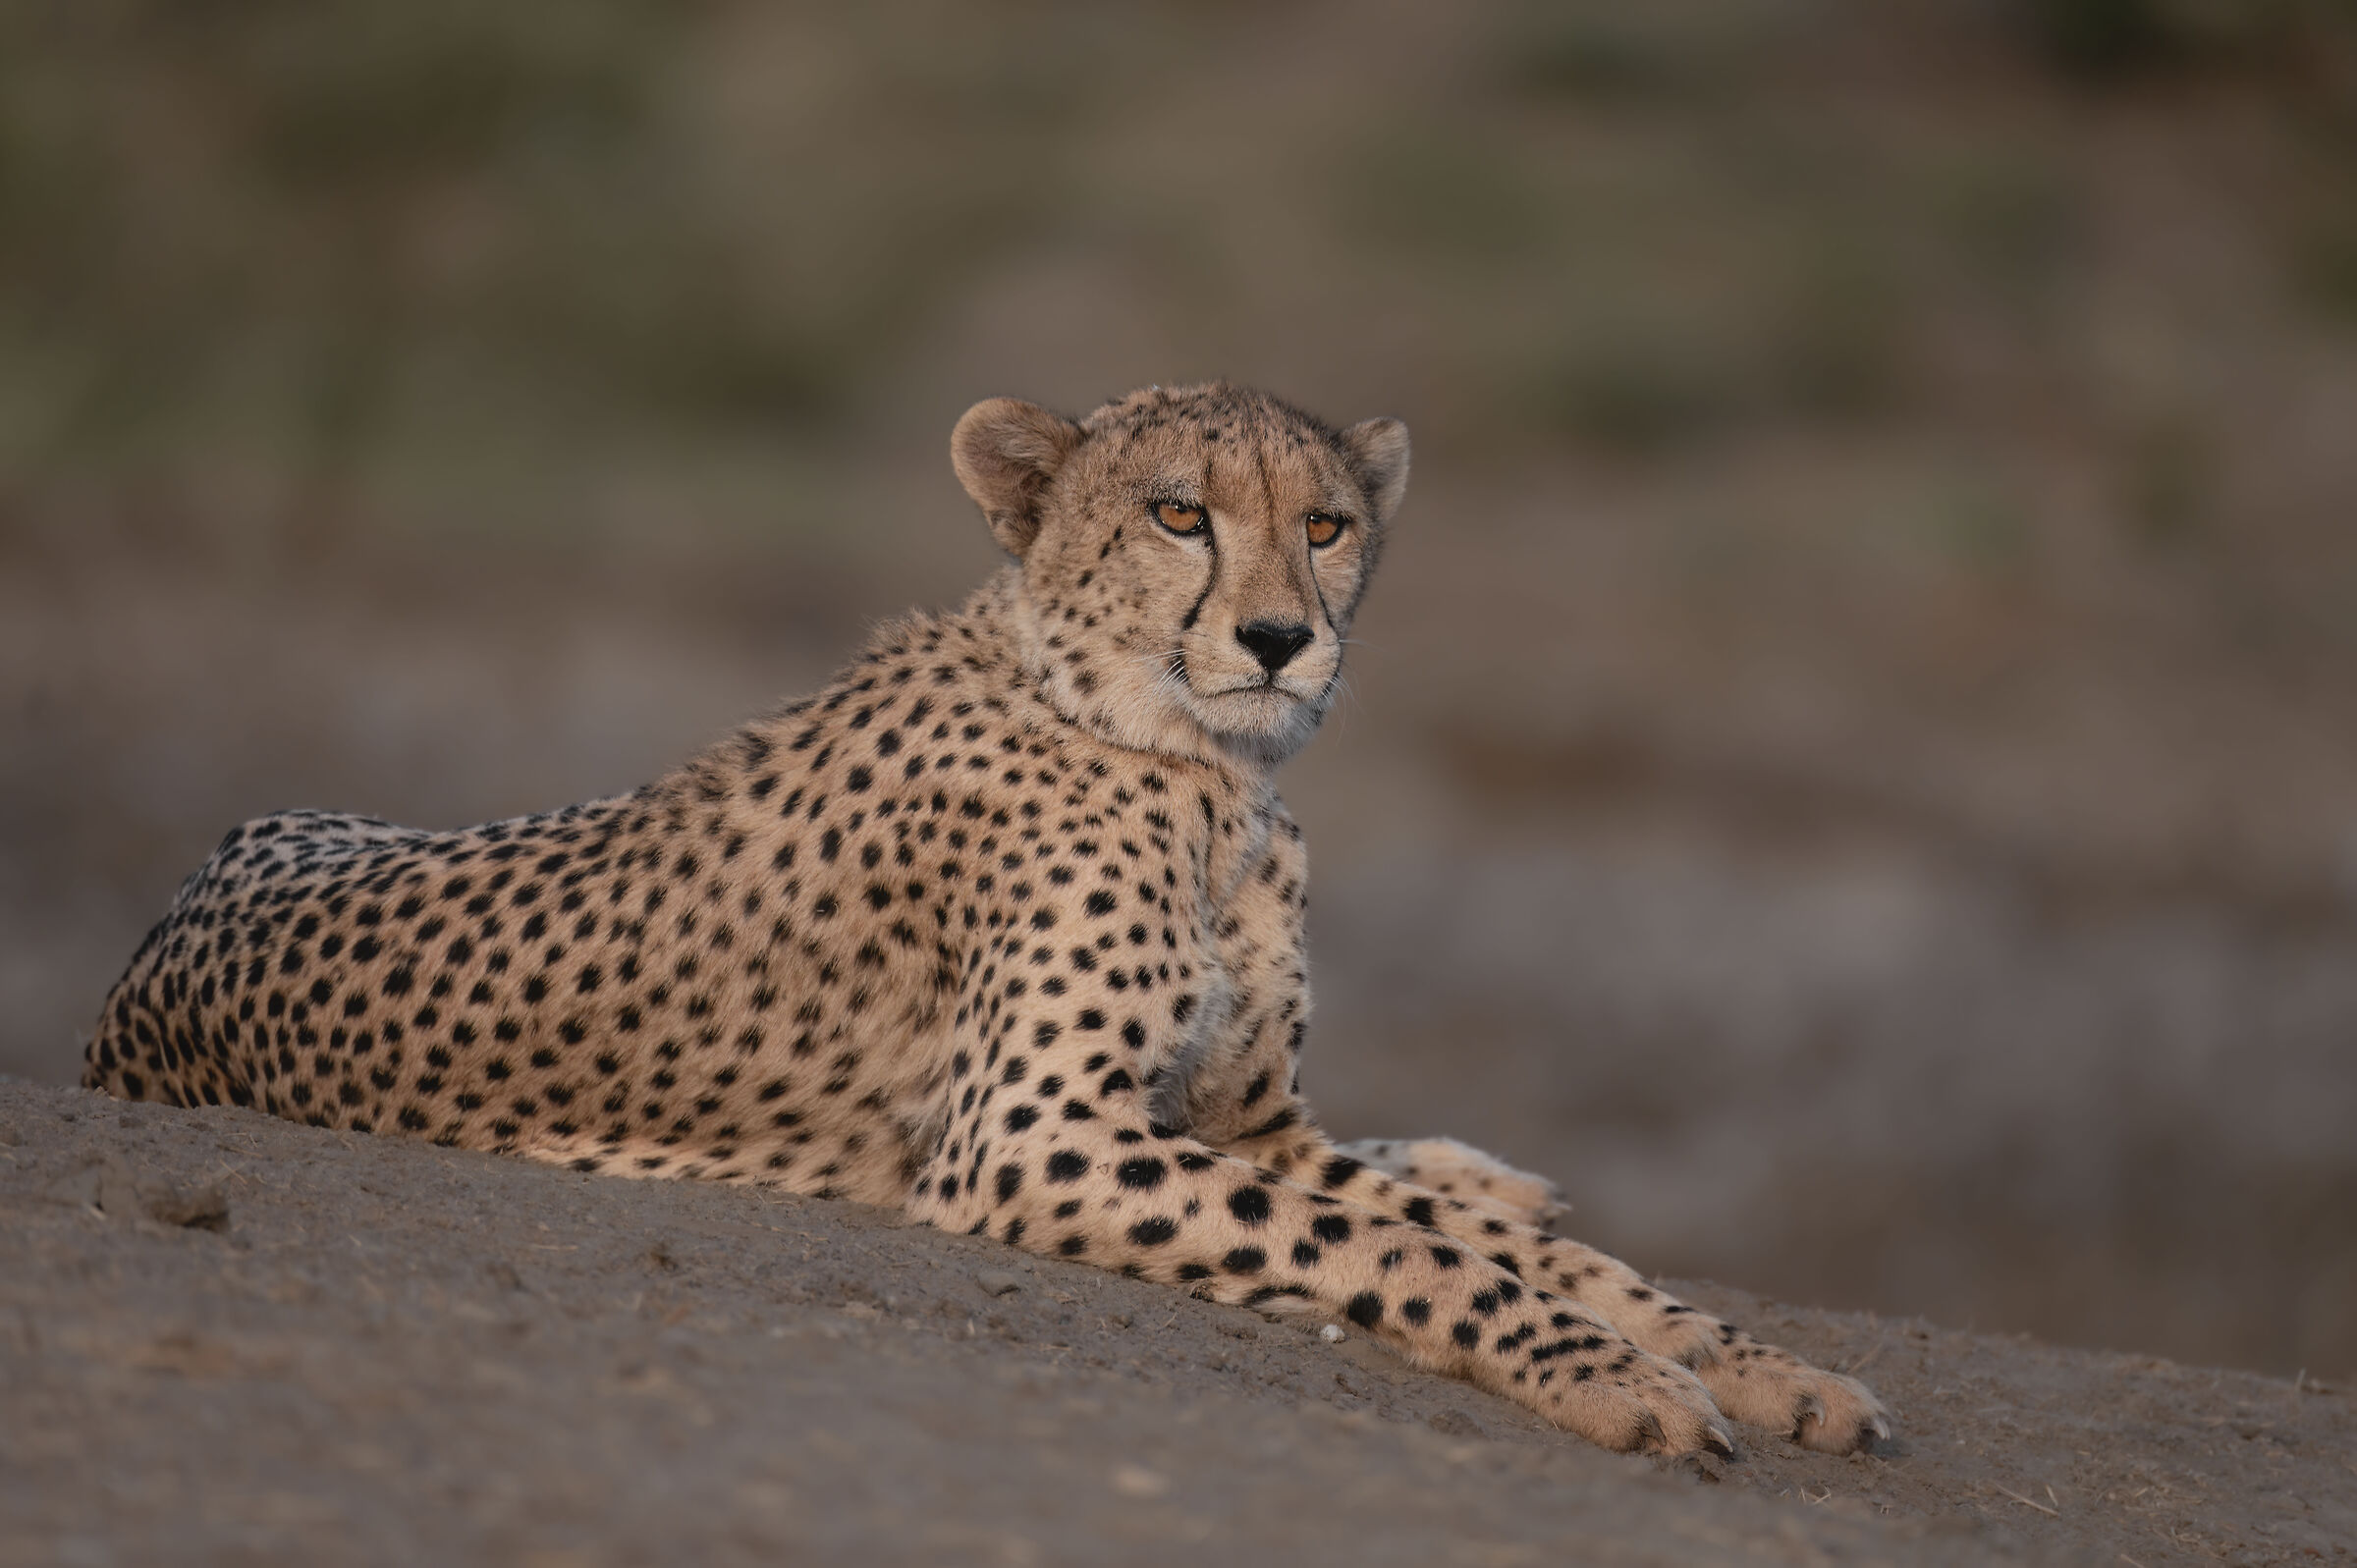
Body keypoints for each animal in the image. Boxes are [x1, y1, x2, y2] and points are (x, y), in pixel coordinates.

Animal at [86, 381, 1889, 1459]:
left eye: (1323, 523)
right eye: (1179, 513)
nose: (1282, 636)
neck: (1207, 776)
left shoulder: (1249, 1118)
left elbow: (1500, 1234)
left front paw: (1757, 1359)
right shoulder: (1036, 1135)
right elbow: (1393, 1243)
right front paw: (1612, 1373)